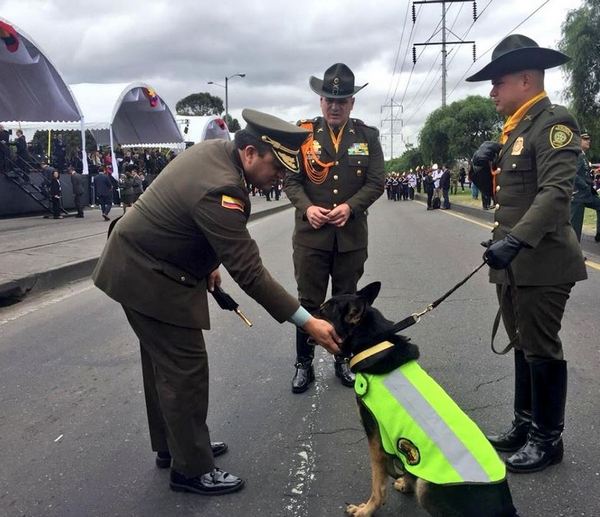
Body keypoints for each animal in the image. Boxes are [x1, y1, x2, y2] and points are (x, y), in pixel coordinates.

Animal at [316, 282, 516, 516]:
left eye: (324, 310)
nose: (305, 315)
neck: (374, 344)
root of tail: (507, 508)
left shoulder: (375, 439)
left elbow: (378, 483)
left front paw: (367, 509)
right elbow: (406, 470)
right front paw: (404, 482)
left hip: (427, 487)